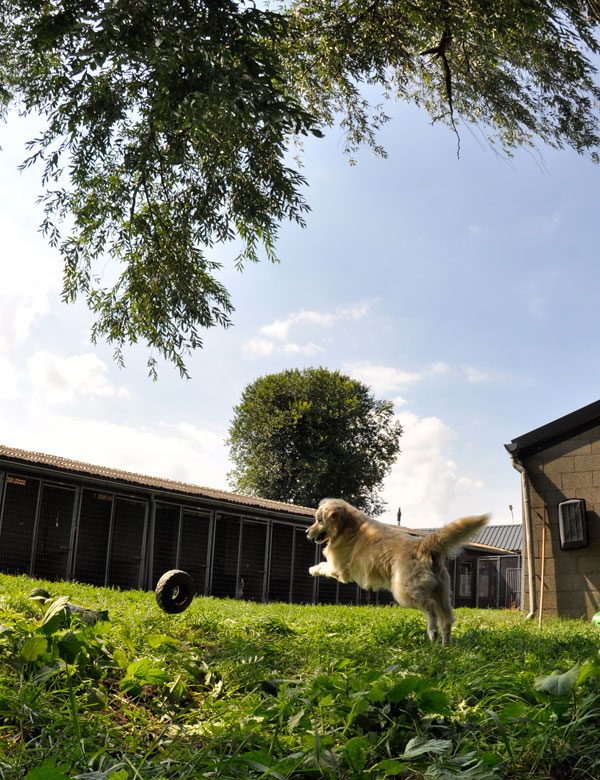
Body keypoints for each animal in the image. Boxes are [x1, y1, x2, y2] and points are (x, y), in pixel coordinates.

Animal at [304, 500, 488, 644]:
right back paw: (445, 646)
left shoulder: (338, 568)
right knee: (447, 621)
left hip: (404, 593)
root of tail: (423, 544)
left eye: (319, 520)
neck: (346, 526)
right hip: (441, 594)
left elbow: (322, 565)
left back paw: (432, 632)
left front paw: (312, 569)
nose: (306, 531)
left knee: (430, 606)